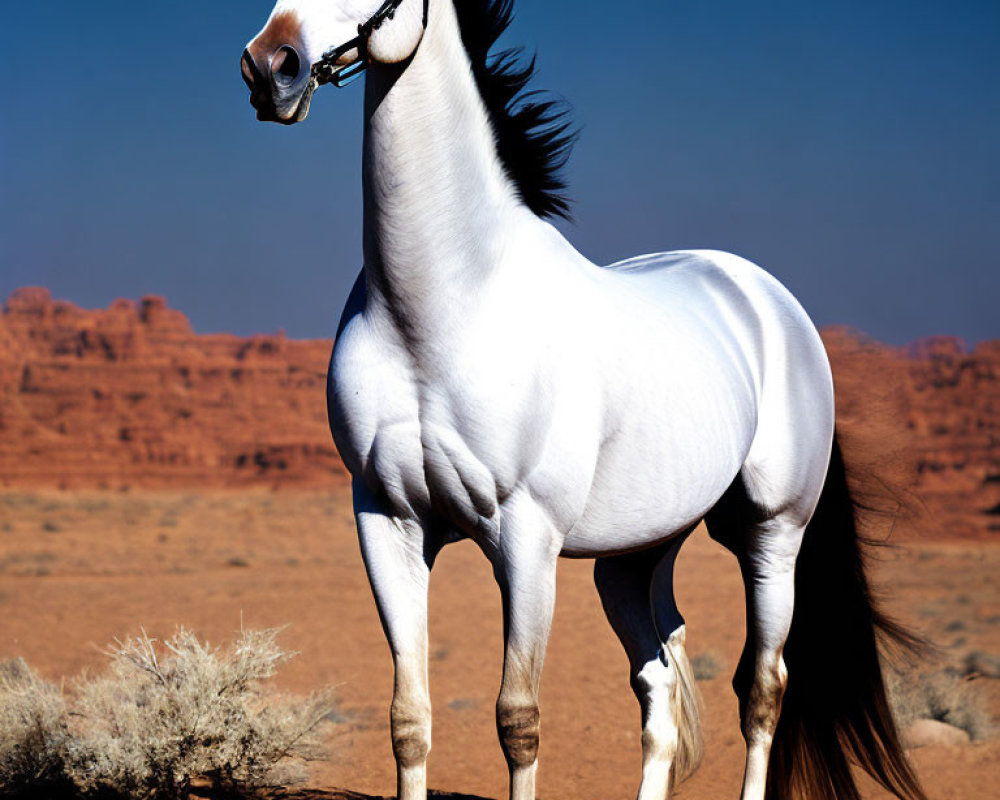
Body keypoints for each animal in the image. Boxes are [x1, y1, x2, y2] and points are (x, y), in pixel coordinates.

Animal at [244, 1, 928, 800]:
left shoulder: (526, 540)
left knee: (763, 688)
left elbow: (518, 720)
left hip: (771, 534)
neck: (440, 306)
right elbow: (408, 721)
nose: (270, 65)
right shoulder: (388, 522)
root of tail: (772, 304)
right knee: (659, 686)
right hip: (632, 558)